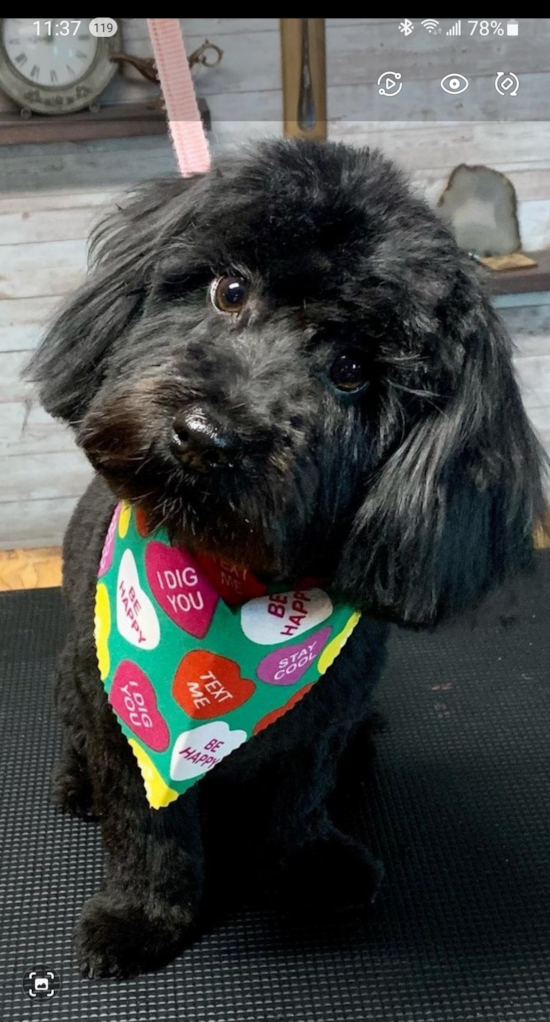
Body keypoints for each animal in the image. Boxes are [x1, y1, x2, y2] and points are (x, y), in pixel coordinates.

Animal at [28, 140, 539, 977]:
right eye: (229, 290)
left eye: (352, 370)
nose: (206, 437)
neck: (227, 580)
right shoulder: (122, 724)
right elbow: (146, 827)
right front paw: (141, 916)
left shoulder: (321, 716)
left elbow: (296, 802)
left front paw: (308, 864)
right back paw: (75, 785)